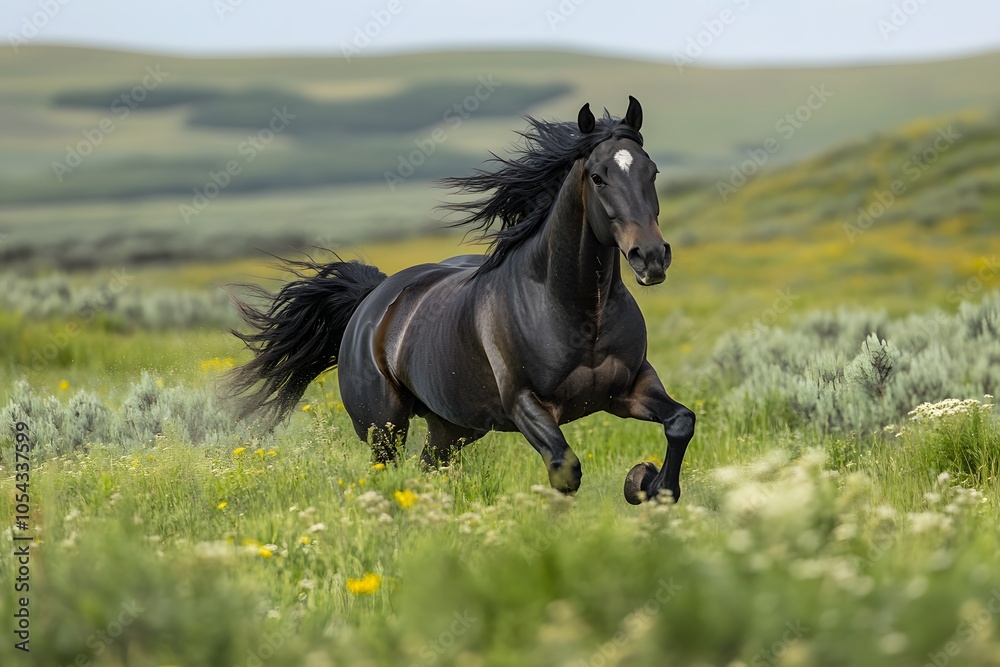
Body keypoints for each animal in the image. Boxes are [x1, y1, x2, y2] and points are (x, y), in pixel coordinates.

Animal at [224, 96, 695, 504]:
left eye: (651, 172)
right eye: (598, 177)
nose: (651, 257)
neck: (579, 313)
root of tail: (372, 300)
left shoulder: (628, 389)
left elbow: (681, 422)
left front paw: (648, 484)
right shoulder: (526, 404)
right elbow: (565, 469)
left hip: (453, 427)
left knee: (428, 467)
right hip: (384, 429)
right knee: (386, 472)